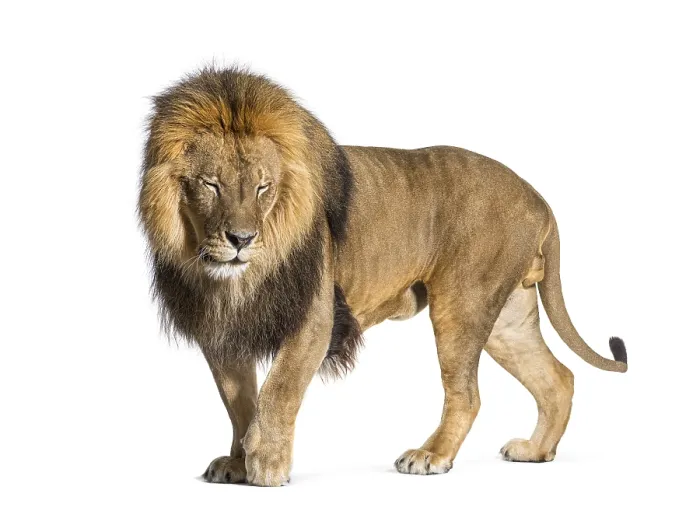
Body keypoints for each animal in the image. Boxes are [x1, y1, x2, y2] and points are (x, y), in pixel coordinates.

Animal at [138, 66, 627, 486]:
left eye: (263, 187)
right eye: (211, 184)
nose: (241, 239)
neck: (233, 277)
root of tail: (538, 197)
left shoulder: (316, 319)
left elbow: (278, 392)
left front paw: (268, 465)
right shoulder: (221, 328)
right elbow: (239, 403)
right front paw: (239, 462)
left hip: (462, 304)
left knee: (467, 394)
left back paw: (431, 455)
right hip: (508, 318)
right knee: (558, 378)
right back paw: (536, 451)